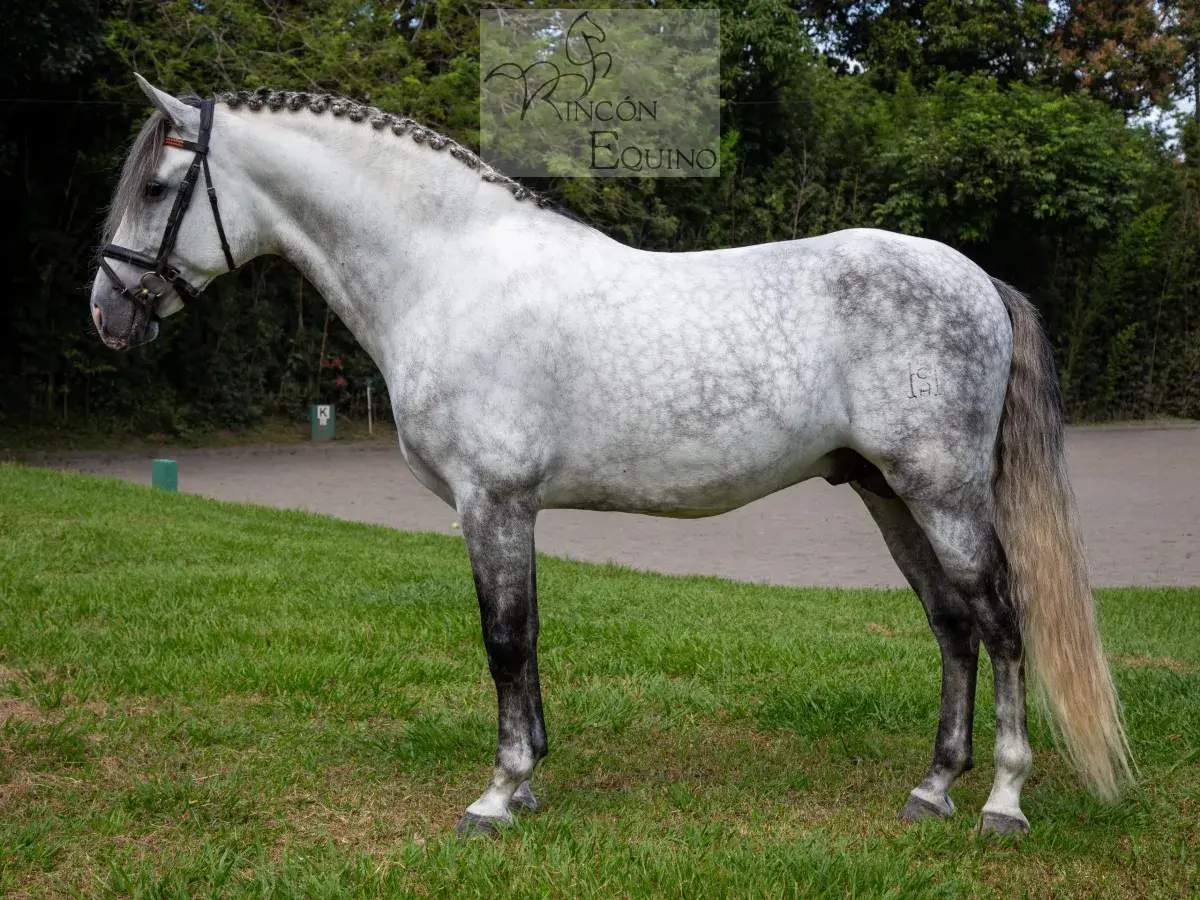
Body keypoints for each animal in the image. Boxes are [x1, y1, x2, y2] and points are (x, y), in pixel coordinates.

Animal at [90, 77, 1132, 836]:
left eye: (157, 189)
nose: (105, 315)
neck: (449, 272)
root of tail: (975, 276)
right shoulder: (511, 510)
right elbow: (526, 640)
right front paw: (529, 780)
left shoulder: (491, 500)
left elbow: (504, 641)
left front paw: (497, 796)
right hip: (887, 492)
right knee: (952, 626)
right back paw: (932, 789)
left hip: (942, 490)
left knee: (1001, 620)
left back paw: (1002, 801)